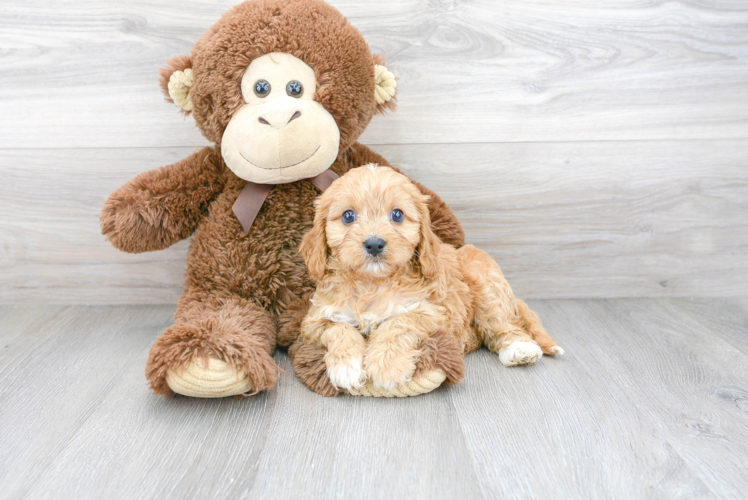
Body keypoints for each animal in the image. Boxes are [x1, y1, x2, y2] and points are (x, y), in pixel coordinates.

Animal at [298, 166, 560, 392]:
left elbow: (398, 322)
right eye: (348, 216)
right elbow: (338, 328)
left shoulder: (433, 312)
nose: (374, 244)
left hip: (486, 284)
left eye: (397, 215)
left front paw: (387, 367)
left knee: (502, 324)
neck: (372, 283)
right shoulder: (315, 320)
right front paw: (346, 368)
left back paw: (519, 349)